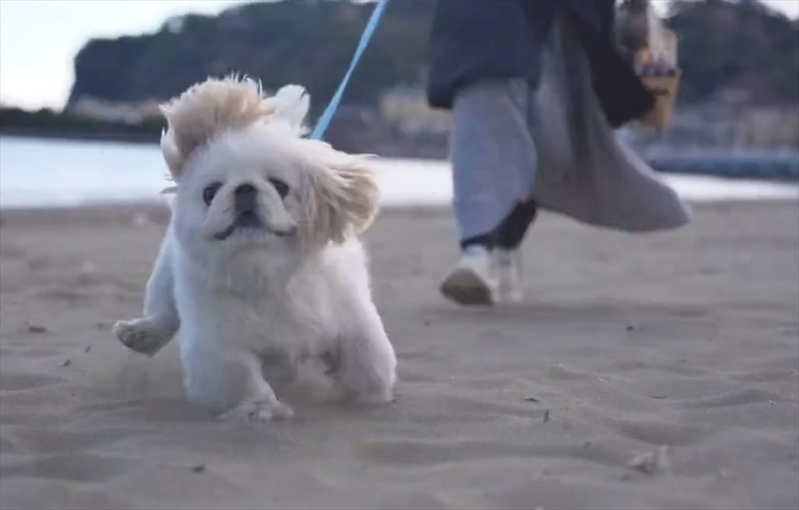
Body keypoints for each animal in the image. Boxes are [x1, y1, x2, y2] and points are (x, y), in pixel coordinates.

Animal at [111, 74, 398, 418]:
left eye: (280, 186)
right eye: (210, 192)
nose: (245, 189)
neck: (263, 270)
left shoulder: (349, 315)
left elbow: (369, 358)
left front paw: (371, 396)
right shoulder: (220, 345)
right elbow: (242, 377)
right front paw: (262, 409)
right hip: (166, 276)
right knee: (164, 313)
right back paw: (142, 333)